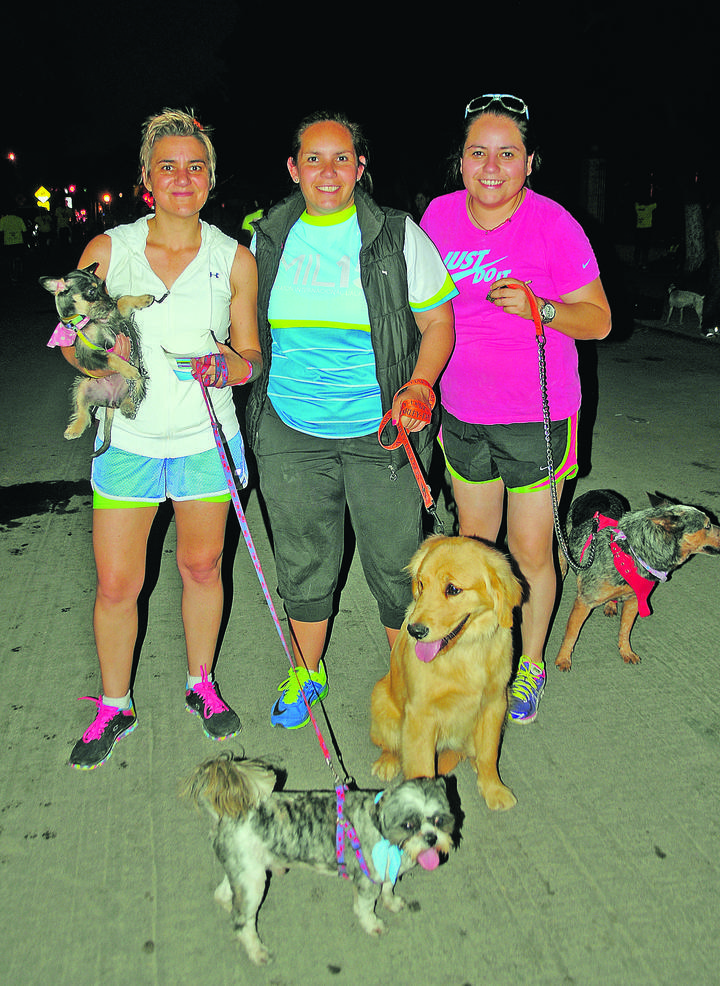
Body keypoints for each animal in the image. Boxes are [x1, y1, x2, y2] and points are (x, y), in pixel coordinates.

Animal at [40, 264, 152, 460]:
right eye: (92, 291)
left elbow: (123, 300)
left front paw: (143, 299)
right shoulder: (90, 353)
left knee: (135, 389)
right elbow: (111, 357)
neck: (89, 320)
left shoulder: (117, 318)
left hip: (139, 375)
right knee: (83, 412)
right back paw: (74, 429)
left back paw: (129, 405)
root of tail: (111, 401)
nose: (109, 302)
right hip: (82, 385)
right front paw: (127, 369)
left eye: (103, 287)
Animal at [184, 752, 456, 960]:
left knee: (223, 893)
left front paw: (392, 902)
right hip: (253, 882)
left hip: (246, 871)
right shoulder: (367, 881)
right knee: (242, 923)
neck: (385, 834)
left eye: (439, 820)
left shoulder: (388, 871)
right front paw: (373, 925)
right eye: (409, 825)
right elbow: (365, 908)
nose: (431, 837)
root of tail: (227, 815)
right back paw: (257, 951)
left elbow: (388, 890)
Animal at [372, 536, 524, 812]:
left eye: (452, 589)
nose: (415, 631)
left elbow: (489, 753)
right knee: (391, 745)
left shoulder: (495, 703)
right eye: (421, 584)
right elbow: (420, 766)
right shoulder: (420, 715)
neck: (465, 650)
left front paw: (493, 789)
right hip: (380, 700)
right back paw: (387, 762)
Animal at [556, 486, 720, 668]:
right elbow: (571, 634)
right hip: (563, 555)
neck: (630, 554)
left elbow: (625, 629)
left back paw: (611, 605)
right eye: (707, 525)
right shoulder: (584, 602)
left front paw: (626, 651)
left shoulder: (635, 599)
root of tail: (598, 490)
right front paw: (563, 658)